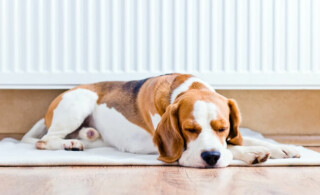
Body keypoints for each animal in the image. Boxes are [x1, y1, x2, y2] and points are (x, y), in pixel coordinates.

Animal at [23, 73, 300, 168]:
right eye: (189, 129)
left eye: (223, 128)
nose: (211, 158)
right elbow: (233, 147)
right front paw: (254, 152)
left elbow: (241, 138)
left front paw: (283, 147)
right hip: (80, 101)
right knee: (44, 141)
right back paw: (68, 145)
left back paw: (82, 139)